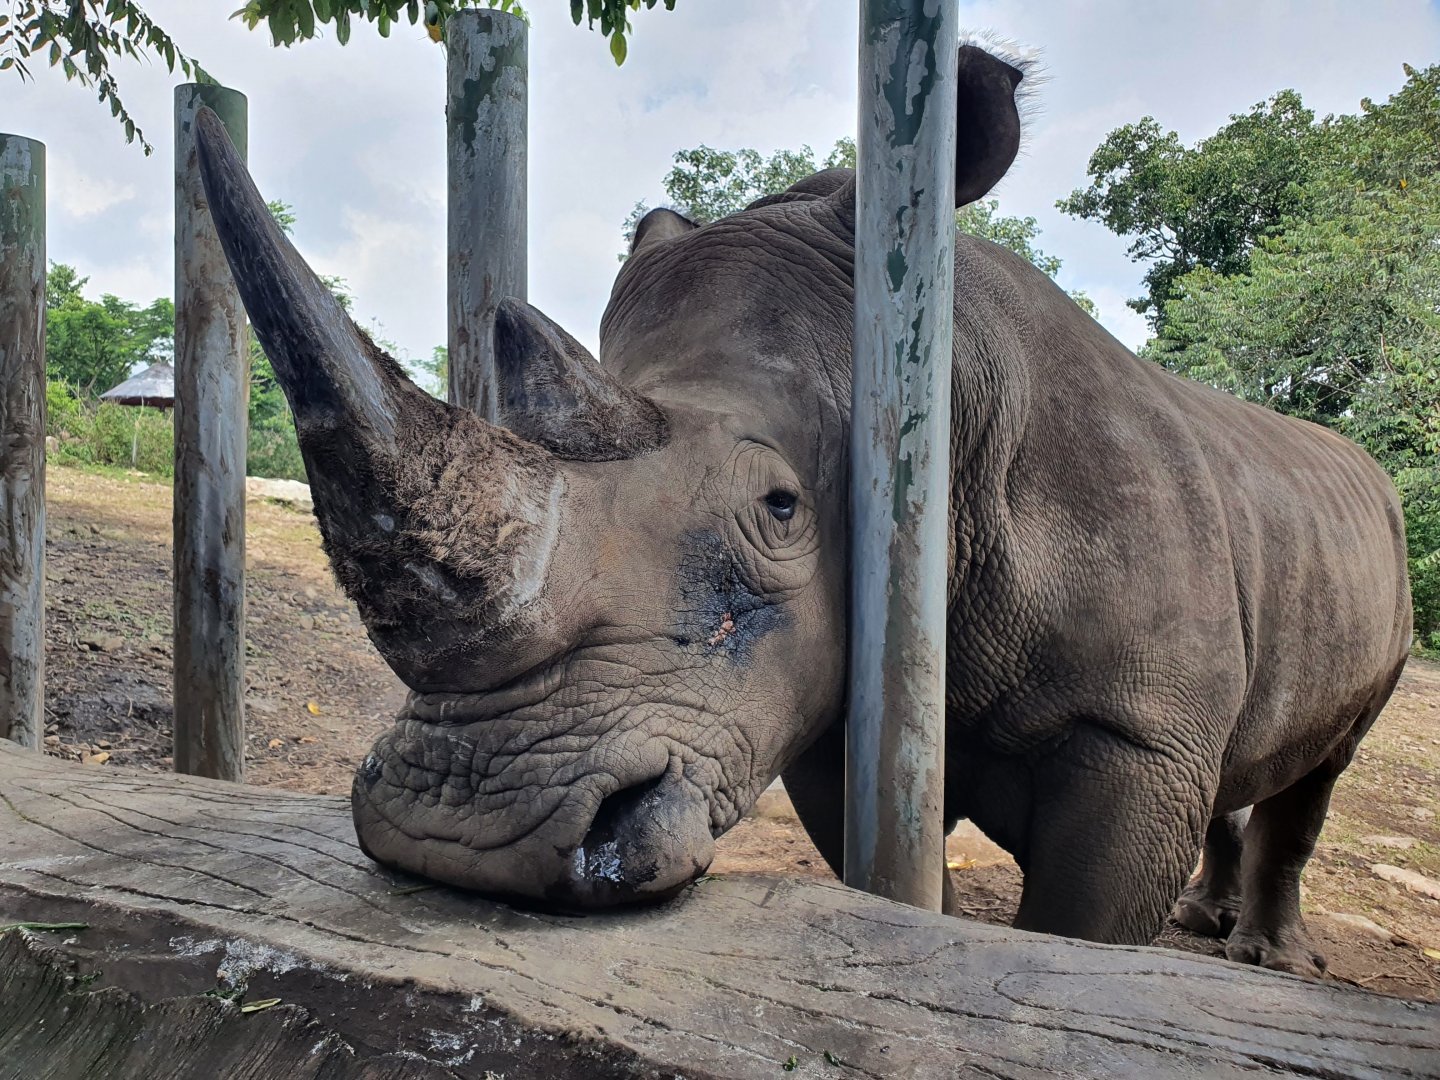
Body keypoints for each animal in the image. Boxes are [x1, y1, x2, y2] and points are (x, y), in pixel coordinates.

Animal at [192, 41, 1410, 977]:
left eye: (780, 506)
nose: (458, 831)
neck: (958, 406)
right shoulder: (825, 697)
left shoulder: (1139, 731)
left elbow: (1078, 932)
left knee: (1326, 766)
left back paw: (1265, 956)